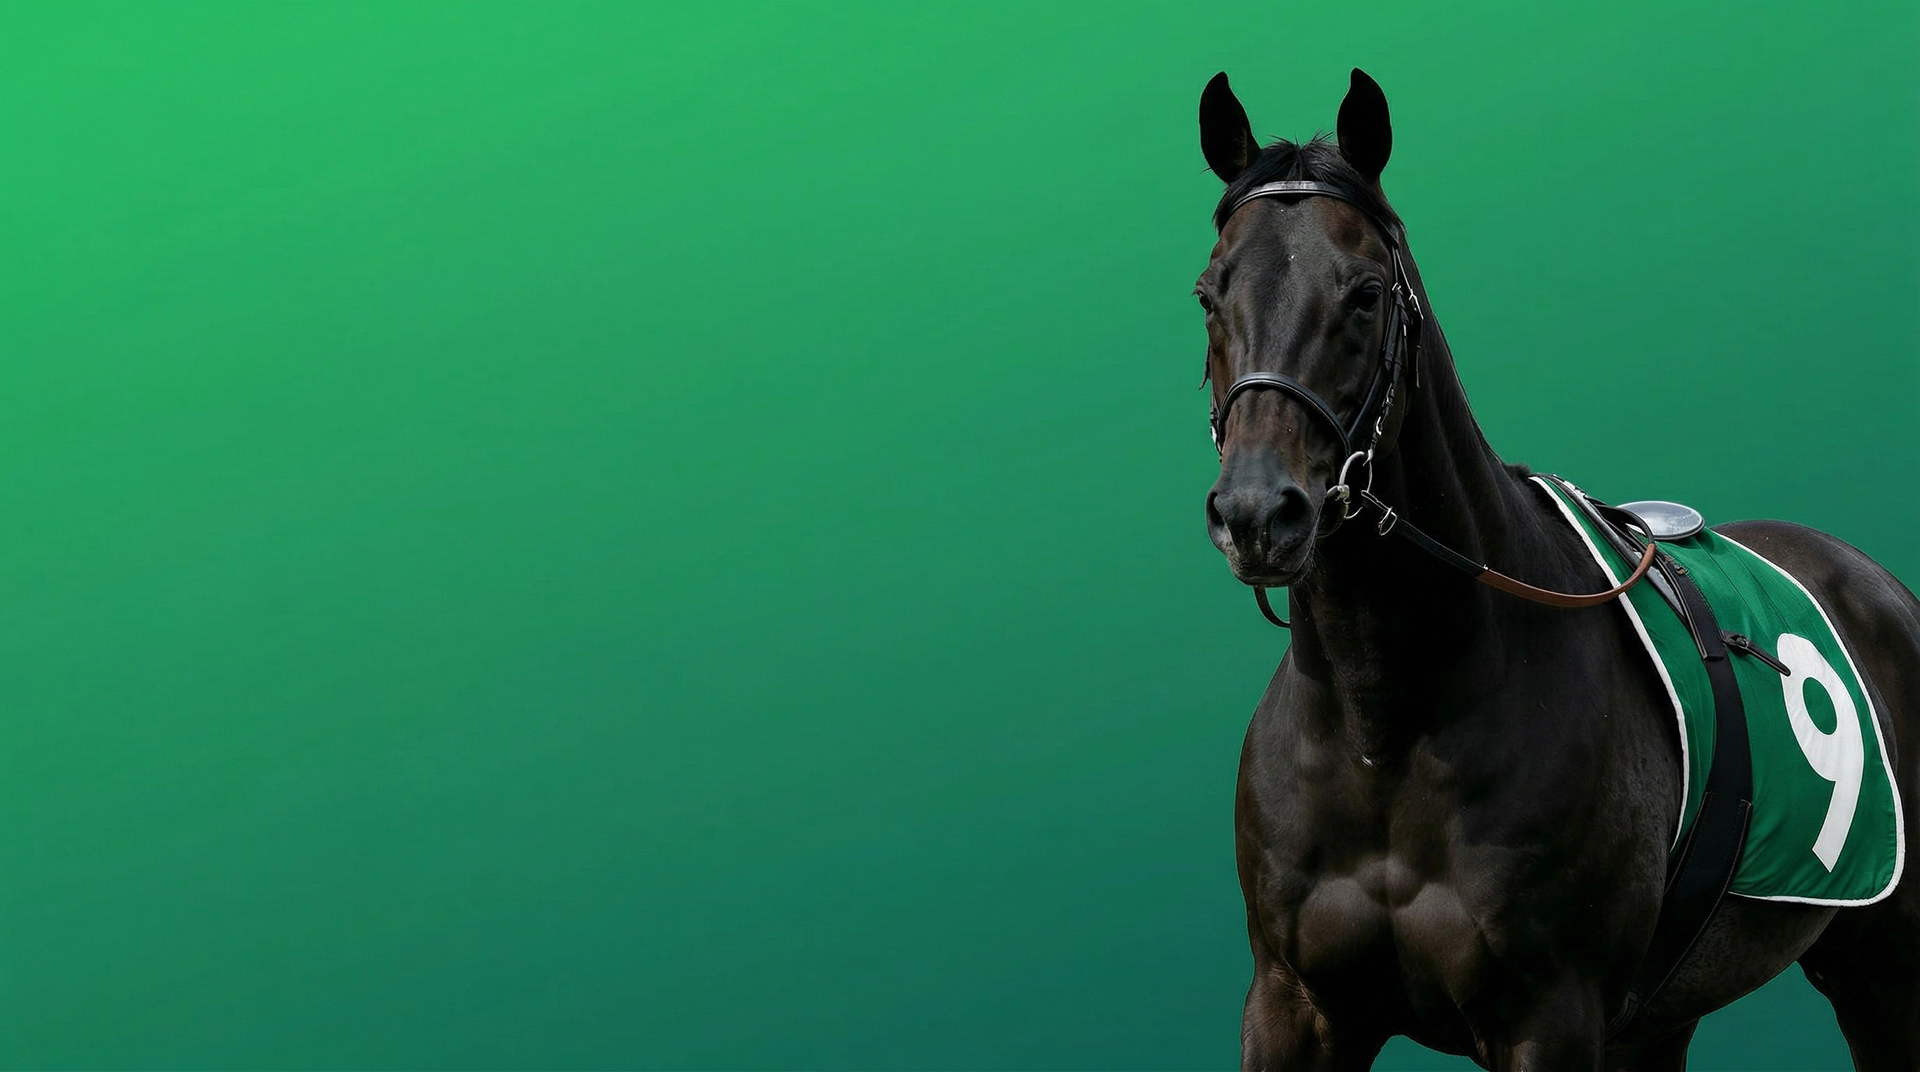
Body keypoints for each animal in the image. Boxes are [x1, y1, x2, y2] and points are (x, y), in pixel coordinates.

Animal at [1195, 68, 1920, 1071]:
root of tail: (1877, 582)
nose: (1259, 514)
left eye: (1367, 295)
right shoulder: (1295, 1005)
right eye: (1208, 294)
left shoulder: (1549, 1016)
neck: (1388, 725)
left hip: (1886, 962)